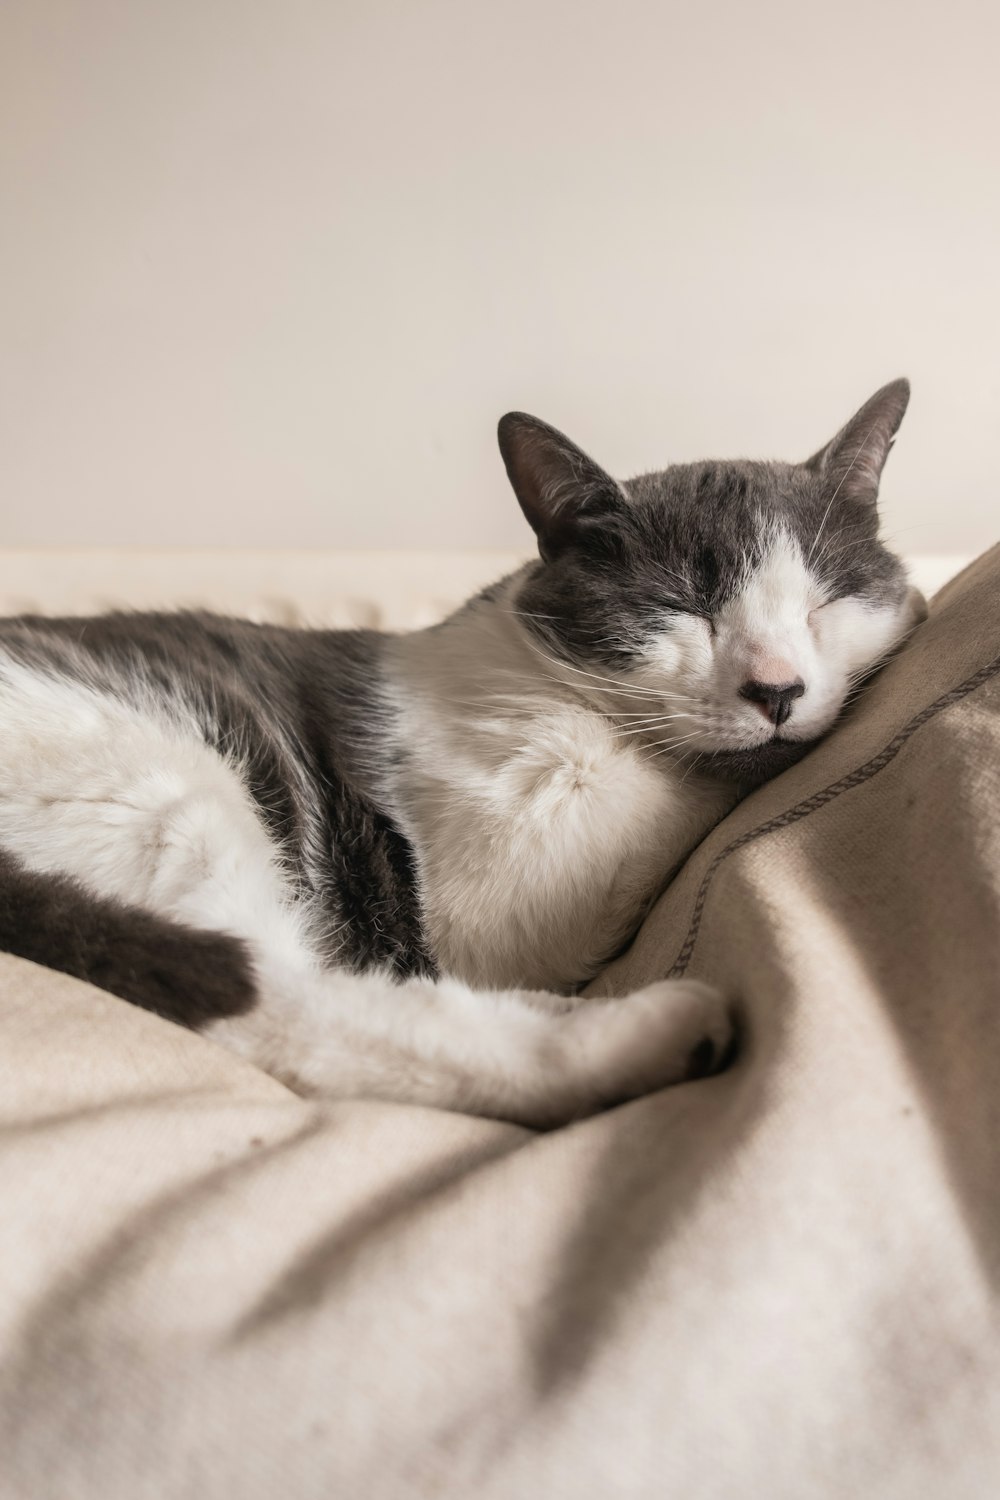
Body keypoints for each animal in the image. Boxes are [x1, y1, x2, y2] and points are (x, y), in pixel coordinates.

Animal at [0, 381, 923, 1122]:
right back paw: (640, 1035)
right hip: (154, 777)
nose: (777, 690)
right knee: (282, 999)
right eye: (682, 608)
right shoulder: (493, 890)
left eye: (824, 602)